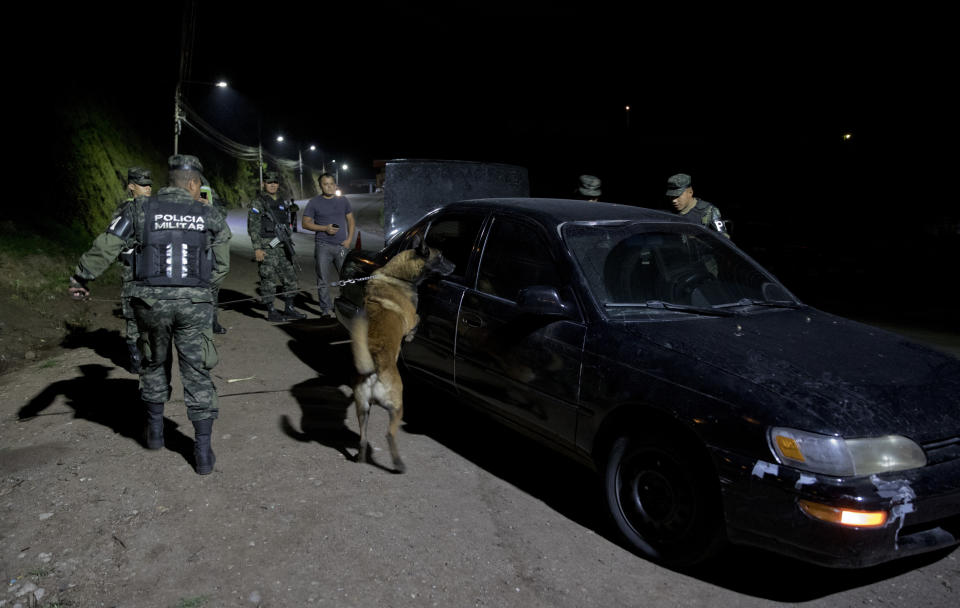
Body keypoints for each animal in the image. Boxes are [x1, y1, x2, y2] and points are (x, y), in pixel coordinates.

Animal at [350, 235, 456, 472]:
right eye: (441, 256)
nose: (455, 266)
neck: (397, 276)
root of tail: (374, 369)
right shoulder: (412, 317)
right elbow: (418, 319)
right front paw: (410, 337)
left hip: (362, 409)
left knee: (363, 438)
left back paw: (361, 457)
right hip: (397, 406)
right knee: (389, 435)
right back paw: (398, 463)